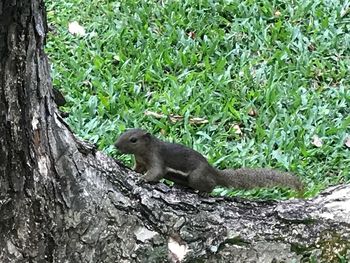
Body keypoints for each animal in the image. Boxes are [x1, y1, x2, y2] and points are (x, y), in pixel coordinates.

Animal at [115, 129, 304, 194]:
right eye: (124, 132)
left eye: (133, 140)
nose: (115, 145)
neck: (144, 152)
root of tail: (213, 171)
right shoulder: (140, 161)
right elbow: (138, 168)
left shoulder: (157, 159)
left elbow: (156, 172)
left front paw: (143, 179)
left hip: (196, 177)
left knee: (211, 185)